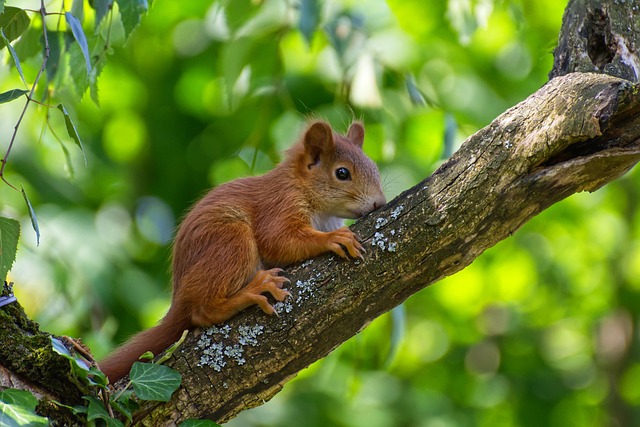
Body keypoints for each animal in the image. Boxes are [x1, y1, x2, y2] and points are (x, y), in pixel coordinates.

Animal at [99, 120, 386, 382]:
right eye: (342, 173)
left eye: (374, 168)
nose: (379, 203)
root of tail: (178, 297)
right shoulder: (279, 204)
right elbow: (279, 241)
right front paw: (333, 238)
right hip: (232, 242)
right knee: (201, 311)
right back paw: (252, 291)